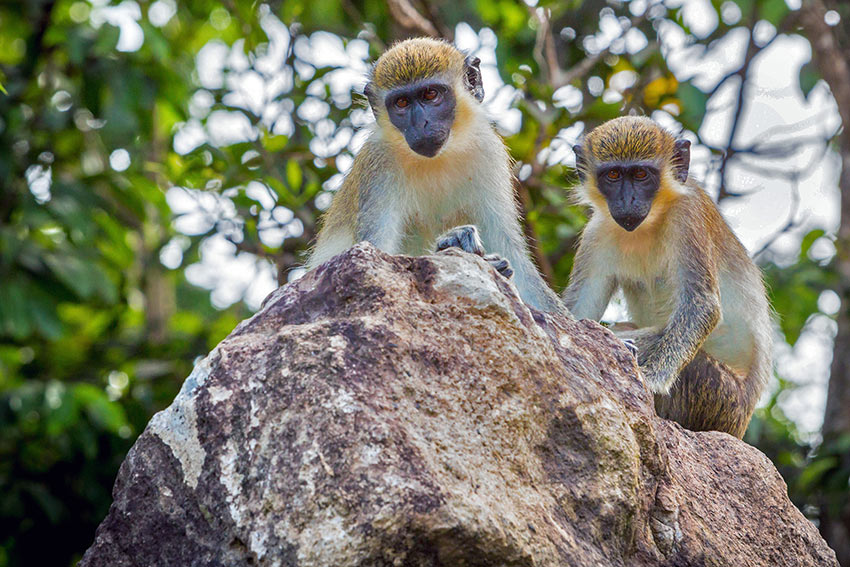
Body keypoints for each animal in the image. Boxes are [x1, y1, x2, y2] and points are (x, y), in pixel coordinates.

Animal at [308, 38, 568, 318]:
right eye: (401, 103)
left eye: (431, 95)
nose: (421, 124)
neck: (439, 158)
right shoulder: (378, 164)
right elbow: (373, 258)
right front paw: (452, 242)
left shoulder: (489, 151)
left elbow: (514, 255)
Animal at [568, 115, 772, 440]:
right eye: (613, 175)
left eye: (641, 174)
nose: (628, 200)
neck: (649, 223)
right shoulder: (596, 233)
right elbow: (577, 314)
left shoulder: (689, 215)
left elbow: (702, 305)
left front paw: (650, 381)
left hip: (720, 398)